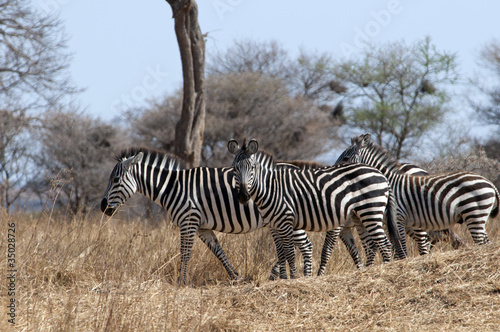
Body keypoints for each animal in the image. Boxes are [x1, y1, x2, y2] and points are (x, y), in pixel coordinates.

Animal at [99, 147, 314, 282]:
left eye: (115, 179)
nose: (102, 207)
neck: (172, 187)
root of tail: (298, 167)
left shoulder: (188, 221)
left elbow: (185, 253)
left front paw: (182, 281)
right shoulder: (203, 228)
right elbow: (218, 252)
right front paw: (235, 276)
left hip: (290, 218)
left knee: (306, 246)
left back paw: (308, 277)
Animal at [227, 139, 402, 278]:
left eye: (252, 168)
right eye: (234, 168)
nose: (243, 196)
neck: (271, 188)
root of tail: (381, 174)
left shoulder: (286, 222)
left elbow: (290, 254)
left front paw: (294, 278)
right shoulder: (274, 225)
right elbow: (281, 253)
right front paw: (284, 279)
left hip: (371, 211)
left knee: (385, 244)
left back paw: (383, 273)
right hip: (360, 216)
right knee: (373, 244)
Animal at [336, 134, 500, 253]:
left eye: (345, 158)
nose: (334, 171)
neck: (389, 181)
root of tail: (490, 183)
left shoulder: (398, 217)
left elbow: (401, 244)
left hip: (474, 214)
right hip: (477, 216)